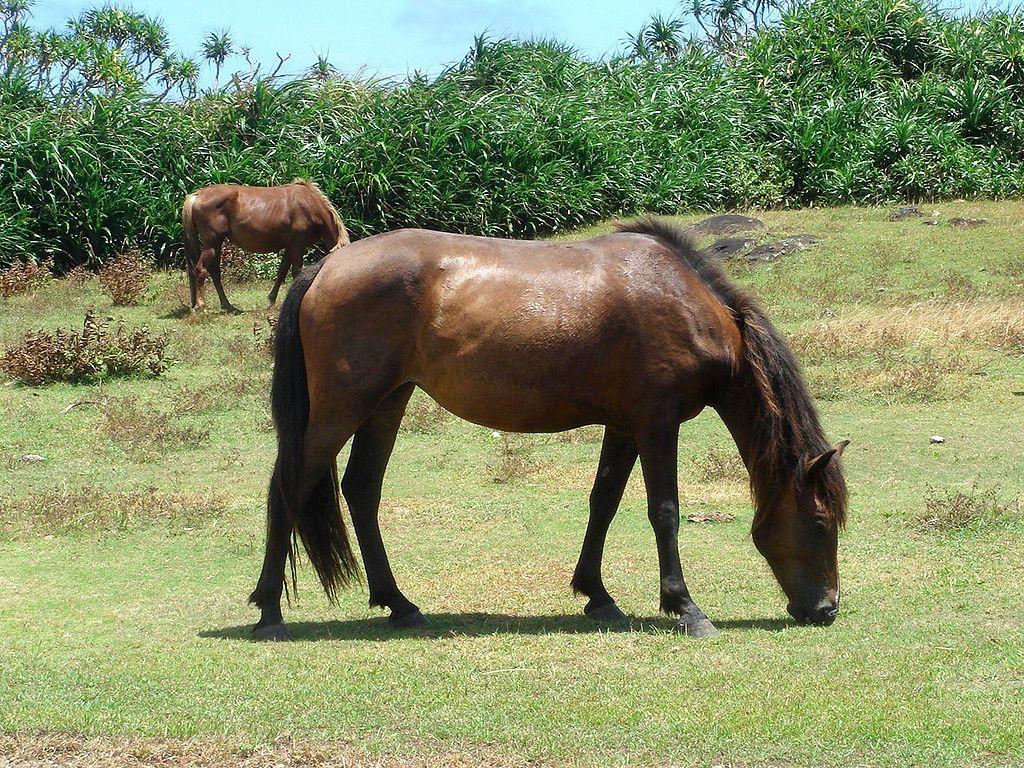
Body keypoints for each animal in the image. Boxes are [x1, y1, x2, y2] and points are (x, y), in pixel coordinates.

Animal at [180, 179, 348, 313]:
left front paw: (271, 301)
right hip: (212, 242)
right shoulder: (297, 244)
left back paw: (228, 306)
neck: (309, 204)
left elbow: (281, 272)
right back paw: (201, 305)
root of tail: (197, 195)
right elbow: (296, 272)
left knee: (214, 272)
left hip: (217, 243)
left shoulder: (290, 246)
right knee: (201, 269)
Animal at [247, 219, 847, 638]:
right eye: (820, 523)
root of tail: (325, 268)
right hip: (341, 410)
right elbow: (664, 512)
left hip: (387, 403)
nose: (826, 609)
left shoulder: (624, 426)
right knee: (289, 487)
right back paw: (270, 610)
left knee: (361, 490)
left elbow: (604, 502)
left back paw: (399, 604)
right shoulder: (656, 423)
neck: (684, 303)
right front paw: (685, 607)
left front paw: (597, 595)